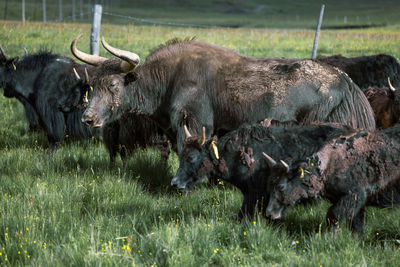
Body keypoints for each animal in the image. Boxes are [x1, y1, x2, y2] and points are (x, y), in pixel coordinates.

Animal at [264, 126, 400, 237]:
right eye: (269, 185)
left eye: (281, 186)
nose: (269, 213)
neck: (327, 167)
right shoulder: (358, 202)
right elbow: (356, 226)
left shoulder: (354, 195)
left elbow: (333, 216)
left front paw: (329, 238)